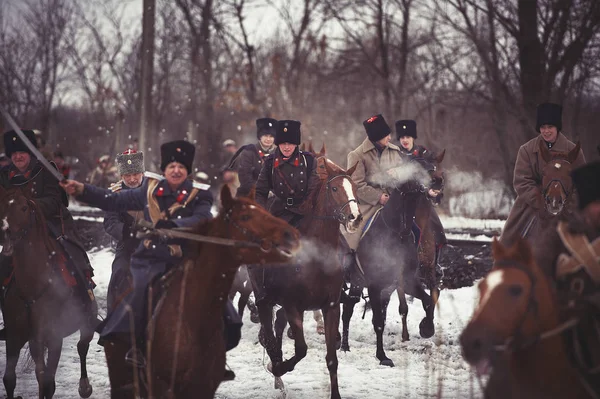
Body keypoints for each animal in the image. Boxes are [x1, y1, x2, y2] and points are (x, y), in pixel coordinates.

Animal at [0, 188, 97, 399]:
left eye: (24, 207)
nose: (5, 232)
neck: (32, 287)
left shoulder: (54, 338)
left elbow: (48, 383)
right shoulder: (16, 335)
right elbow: (10, 379)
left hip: (87, 322)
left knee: (82, 346)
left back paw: (84, 386)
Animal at [248, 159, 360, 399]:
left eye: (355, 187)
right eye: (334, 188)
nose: (356, 218)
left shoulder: (331, 306)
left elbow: (332, 357)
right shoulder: (293, 305)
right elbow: (301, 349)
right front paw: (278, 367)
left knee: (277, 325)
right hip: (264, 298)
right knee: (269, 335)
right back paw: (277, 373)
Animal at [340, 175, 434, 366]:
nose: (434, 184)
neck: (397, 234)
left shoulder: (405, 282)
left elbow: (428, 300)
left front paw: (427, 328)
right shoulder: (375, 286)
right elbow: (378, 322)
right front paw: (382, 356)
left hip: (357, 282)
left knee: (347, 309)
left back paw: (344, 346)